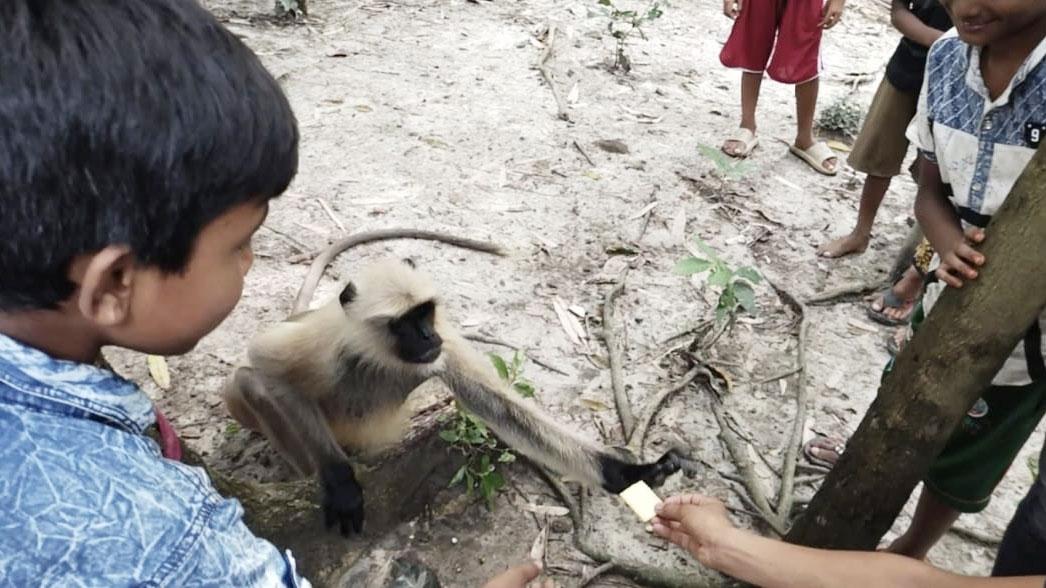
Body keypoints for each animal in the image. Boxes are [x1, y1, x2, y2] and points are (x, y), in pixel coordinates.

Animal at [220, 258, 677, 533]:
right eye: (404, 323)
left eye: (424, 313)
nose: (426, 335)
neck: (377, 354)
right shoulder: (326, 340)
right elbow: (263, 364)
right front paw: (339, 480)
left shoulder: (444, 344)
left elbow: (502, 408)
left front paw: (627, 474)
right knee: (247, 382)